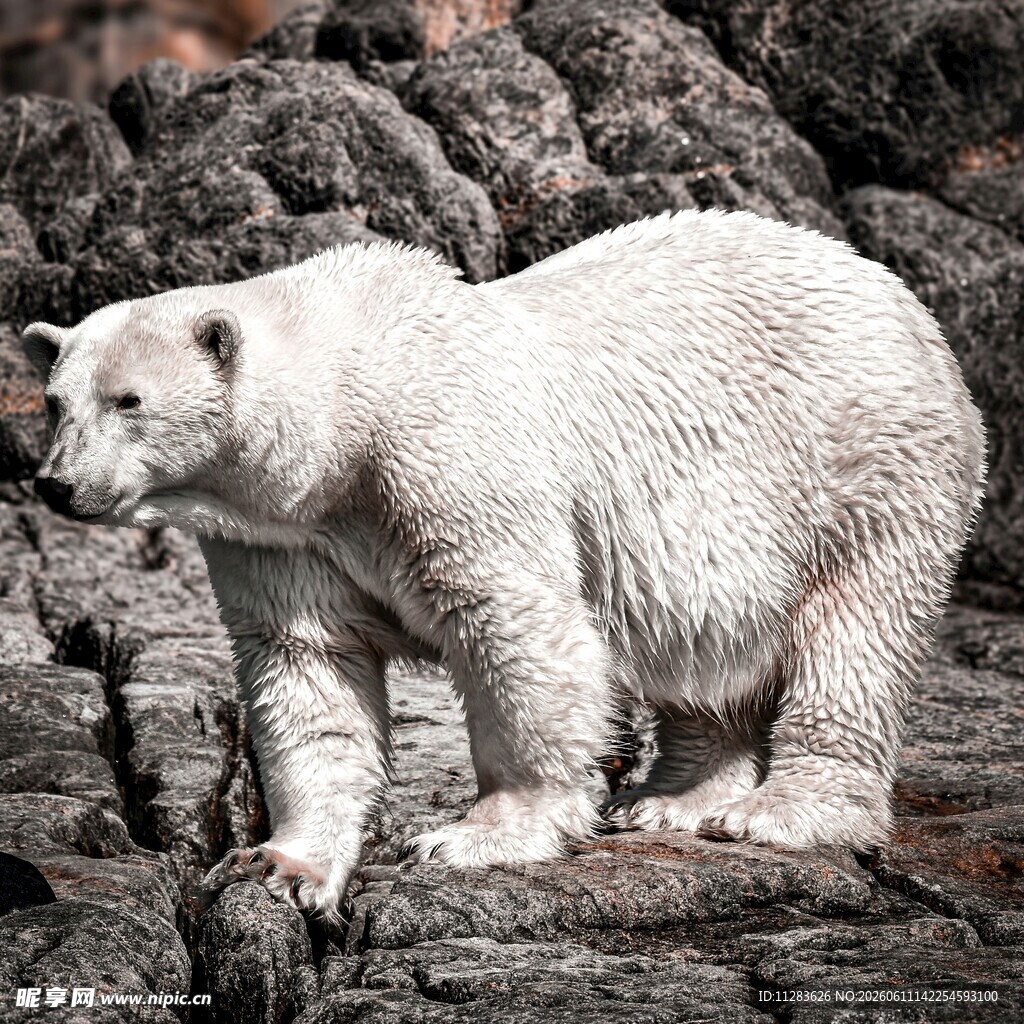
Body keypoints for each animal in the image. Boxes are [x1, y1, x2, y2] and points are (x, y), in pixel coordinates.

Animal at [23, 210, 986, 927]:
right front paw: (284, 866)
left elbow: (516, 625)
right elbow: (309, 669)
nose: (57, 483)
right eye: (56, 402)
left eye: (129, 400)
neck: (348, 411)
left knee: (853, 632)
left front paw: (476, 835)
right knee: (699, 645)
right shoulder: (284, 537)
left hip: (865, 463)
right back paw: (670, 799)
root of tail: (898, 297)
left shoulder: (444, 462)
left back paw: (777, 811)